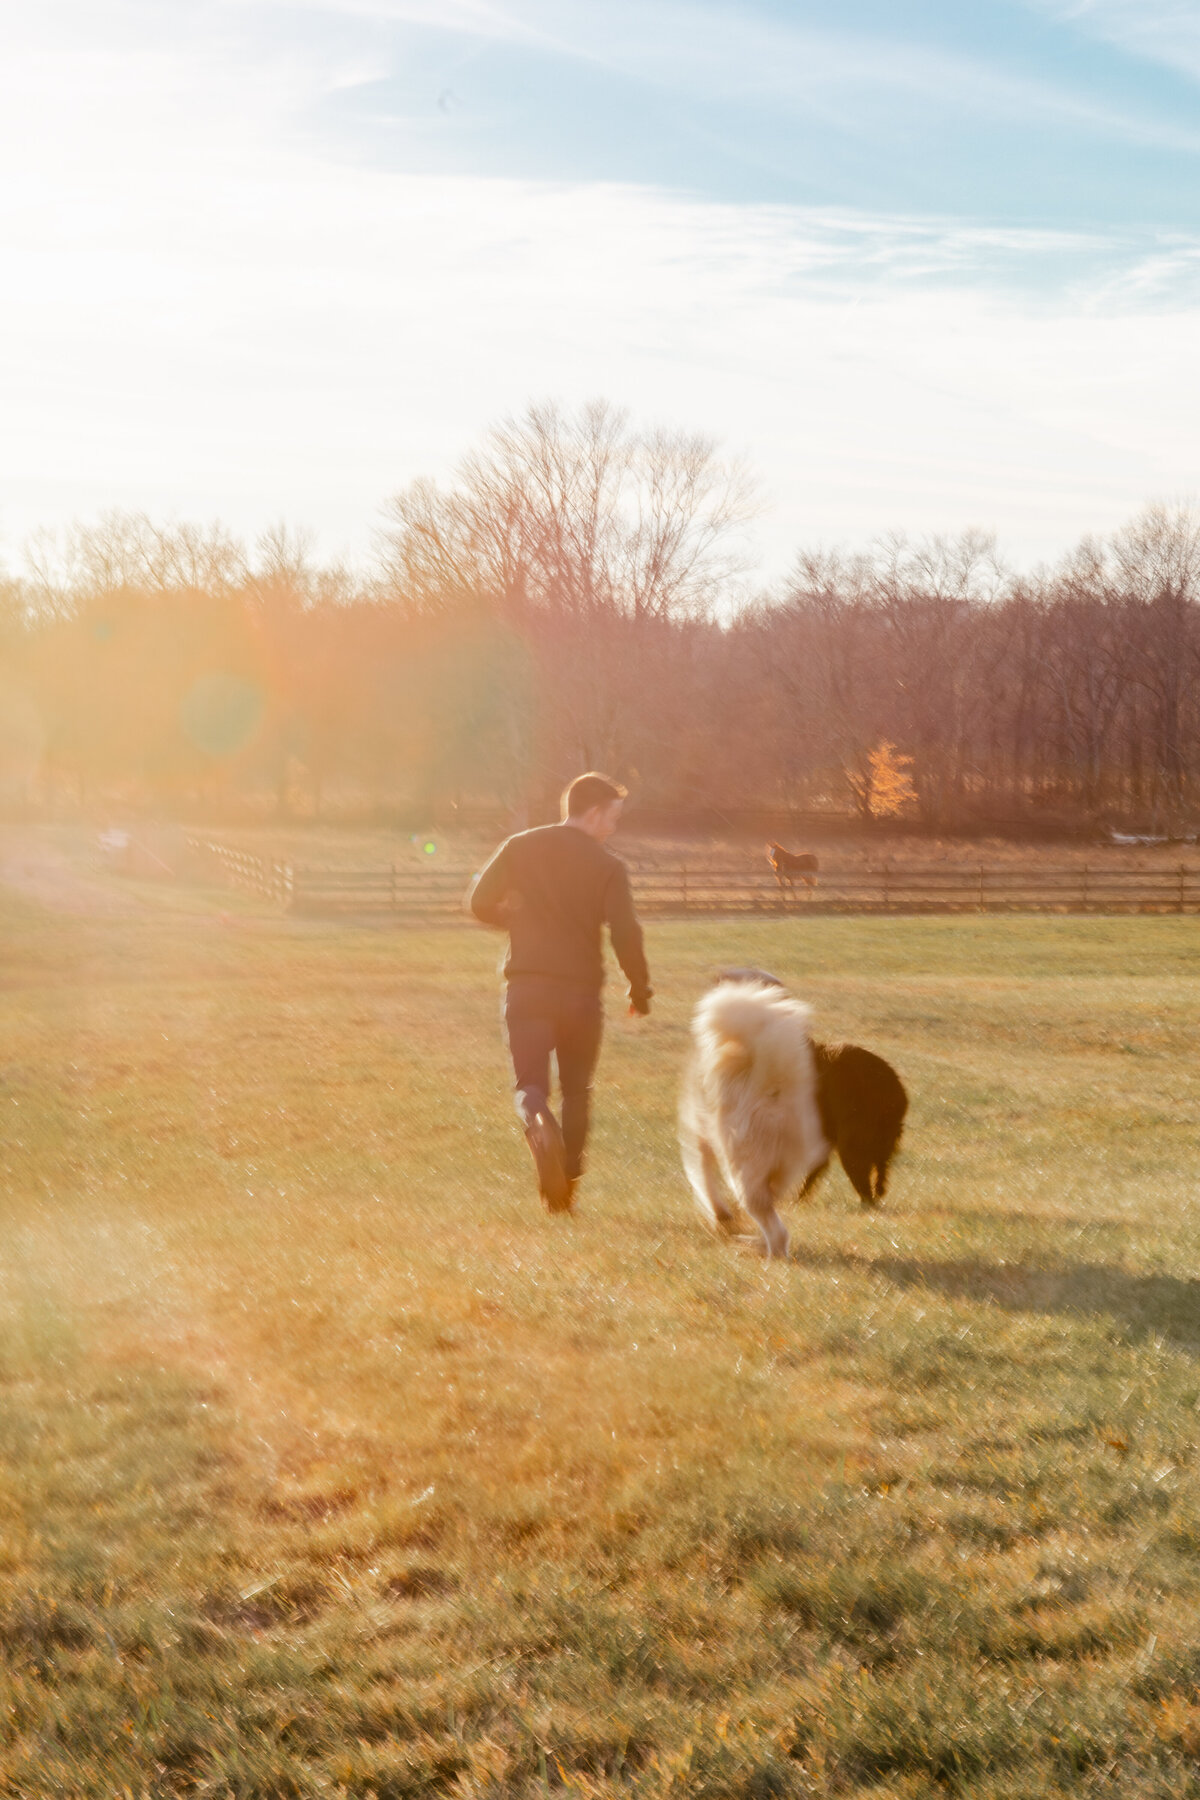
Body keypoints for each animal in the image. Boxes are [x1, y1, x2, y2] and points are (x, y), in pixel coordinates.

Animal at [680, 979, 831, 1260]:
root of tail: (771, 1090)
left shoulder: (698, 1139)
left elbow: (703, 1181)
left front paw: (721, 1216)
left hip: (742, 1168)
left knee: (775, 1229)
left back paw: (767, 1253)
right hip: (784, 1163)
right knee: (773, 1207)